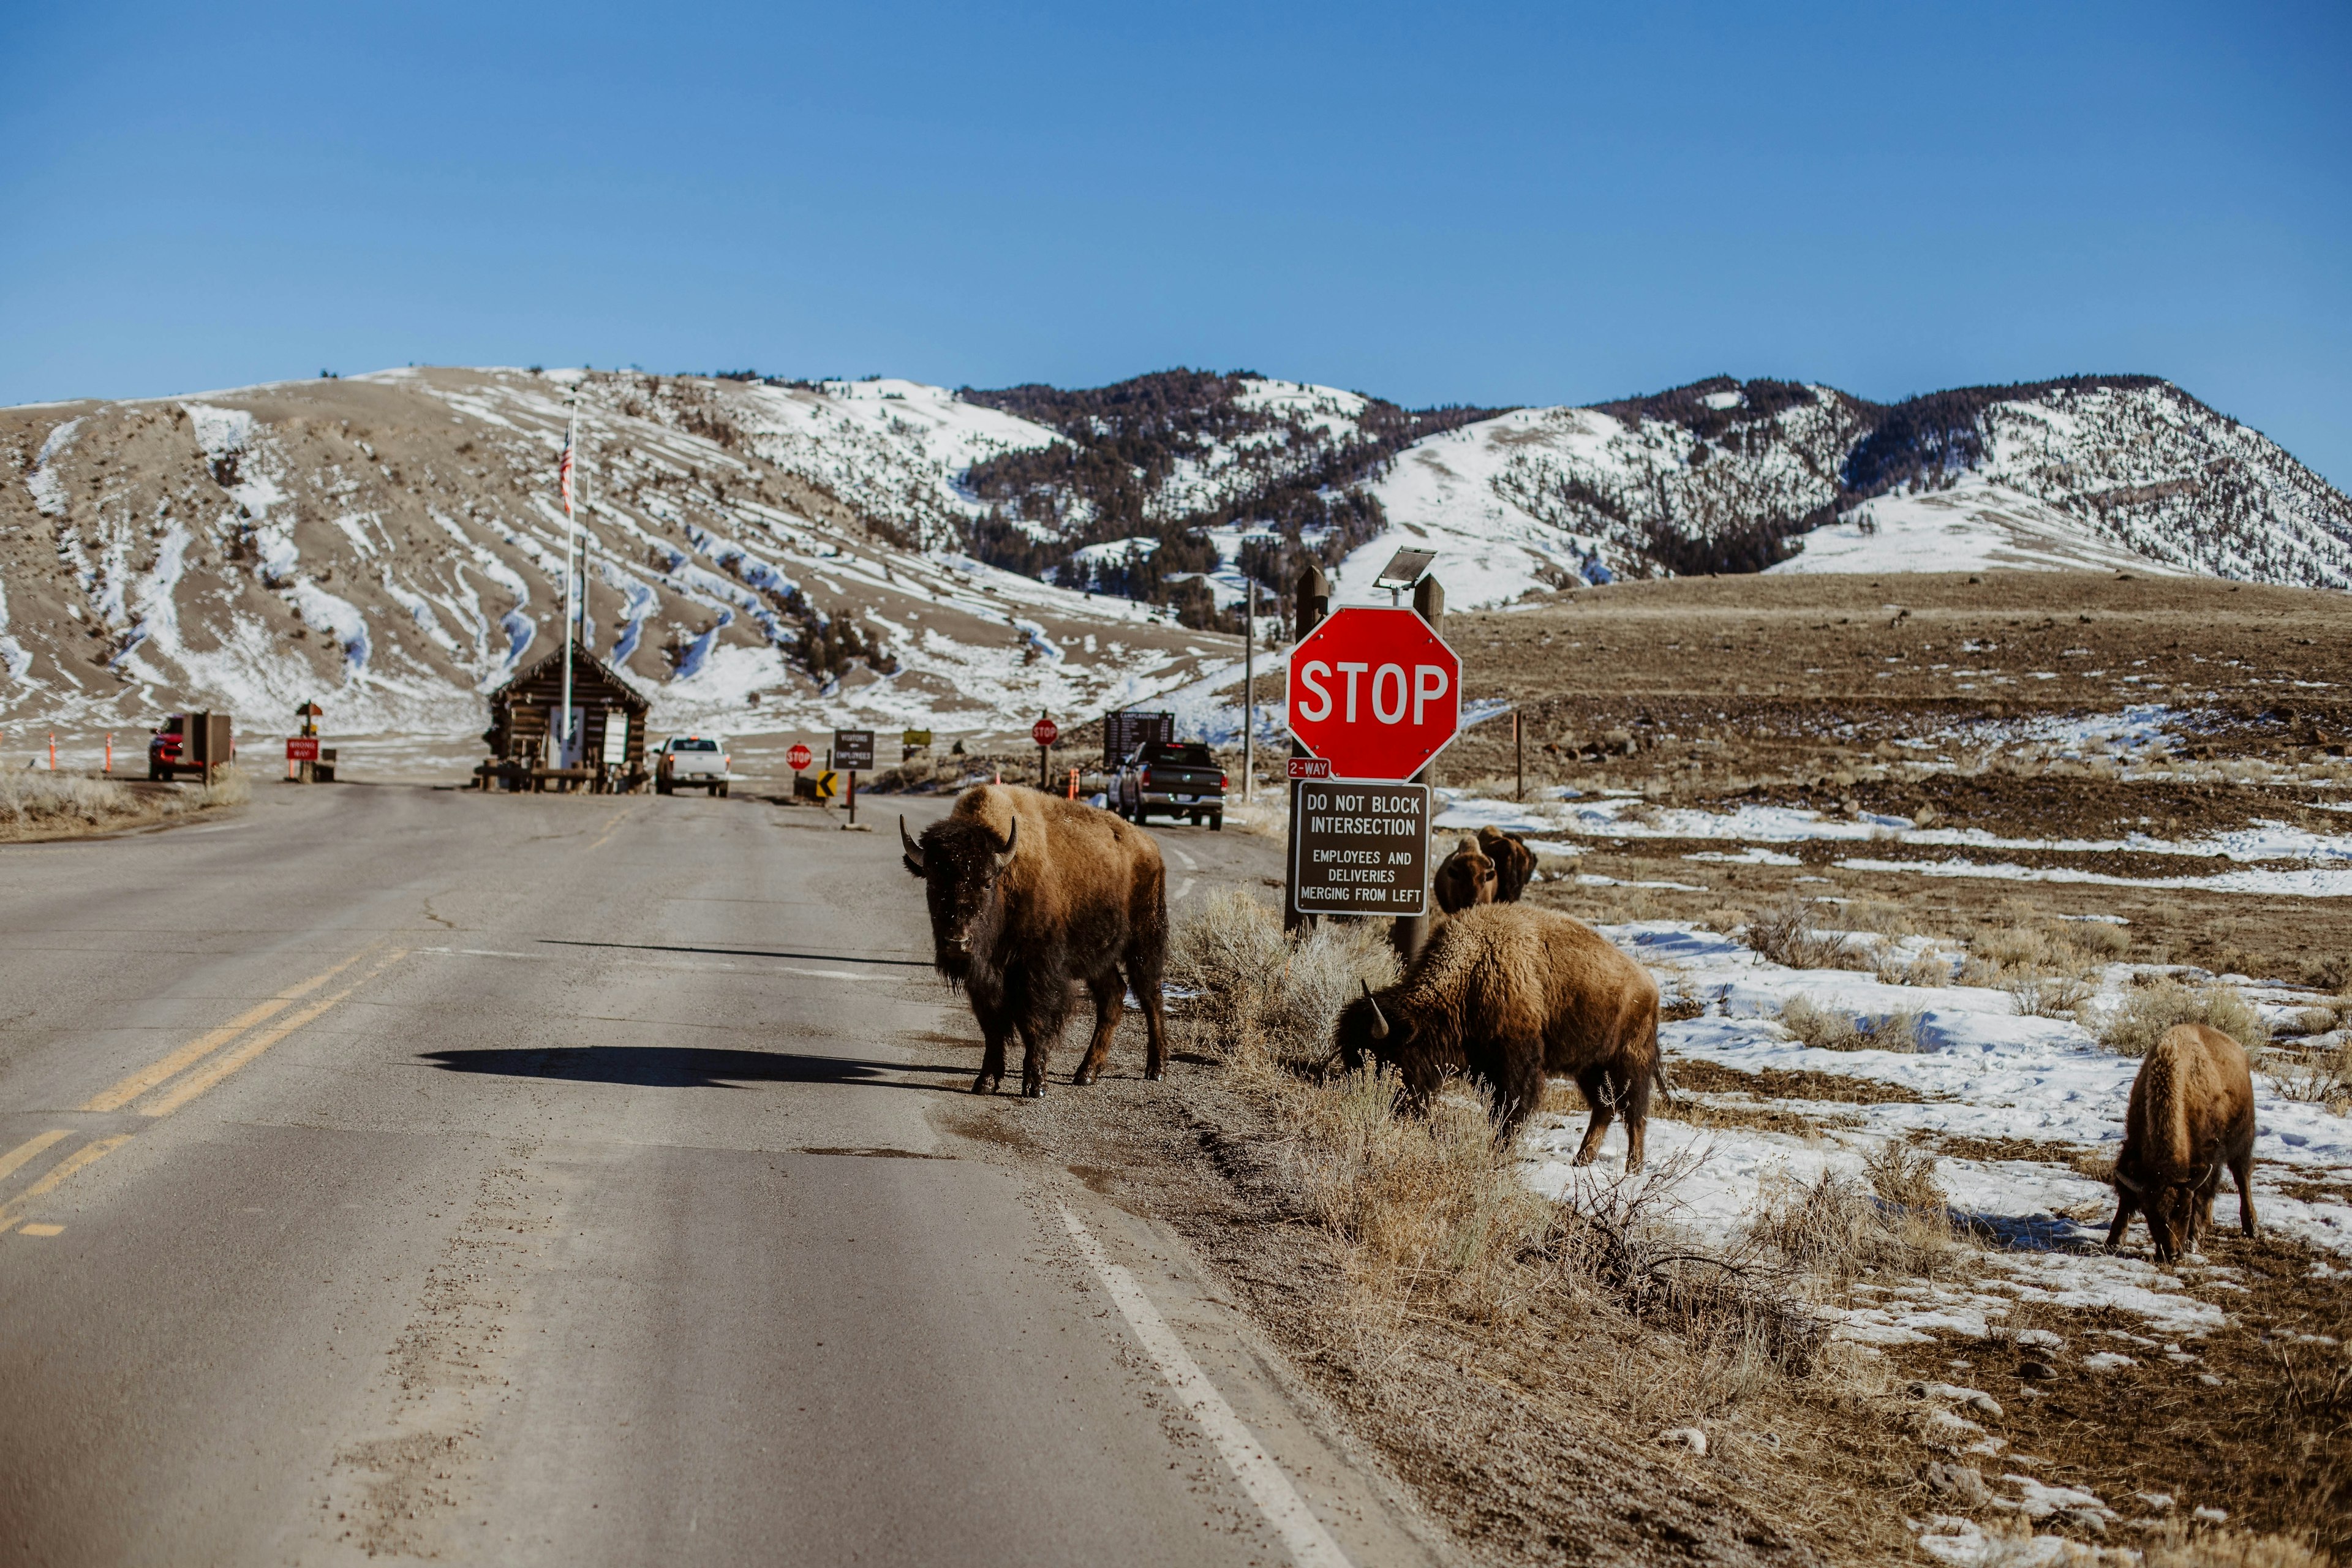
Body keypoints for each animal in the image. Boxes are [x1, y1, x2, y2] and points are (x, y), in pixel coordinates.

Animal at [898, 790, 1166, 1100]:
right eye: (932, 883)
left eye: (986, 883)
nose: (957, 942)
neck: (1007, 876)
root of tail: (1150, 847)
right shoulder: (985, 979)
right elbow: (992, 1026)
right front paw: (985, 1082)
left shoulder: (1037, 970)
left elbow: (1034, 1021)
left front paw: (1035, 1085)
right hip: (1099, 959)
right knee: (1113, 996)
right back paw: (1086, 1073)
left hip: (1144, 944)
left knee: (1150, 998)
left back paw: (1156, 1069)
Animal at [1326, 907, 1675, 1166]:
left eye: (1385, 1058)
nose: (1365, 1101)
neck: (1470, 974)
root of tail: (1650, 986)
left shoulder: (1516, 1064)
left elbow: (1511, 1109)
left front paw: (1497, 1152)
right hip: (1589, 1068)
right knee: (1605, 1107)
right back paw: (1582, 1160)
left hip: (1629, 1063)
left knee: (1634, 1113)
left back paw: (1632, 1167)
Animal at [2107, 1025, 2248, 1269]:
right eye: (2151, 1216)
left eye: (2185, 1212)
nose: (2172, 1255)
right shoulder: (2132, 1149)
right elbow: (2126, 1195)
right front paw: (2114, 1240)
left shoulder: (2206, 1158)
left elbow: (2202, 1194)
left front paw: (2193, 1240)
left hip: (2244, 1138)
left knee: (2242, 1177)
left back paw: (2251, 1228)